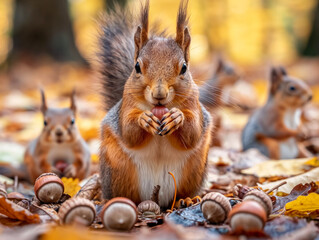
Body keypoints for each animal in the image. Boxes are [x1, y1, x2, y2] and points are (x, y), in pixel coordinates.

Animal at [98, 0, 212, 208]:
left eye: (184, 68)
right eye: (137, 66)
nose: (159, 94)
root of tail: (156, 199)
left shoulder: (194, 104)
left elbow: (192, 132)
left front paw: (176, 118)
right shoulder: (126, 106)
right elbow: (129, 132)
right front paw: (144, 119)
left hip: (194, 171)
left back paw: (186, 199)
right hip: (117, 170)